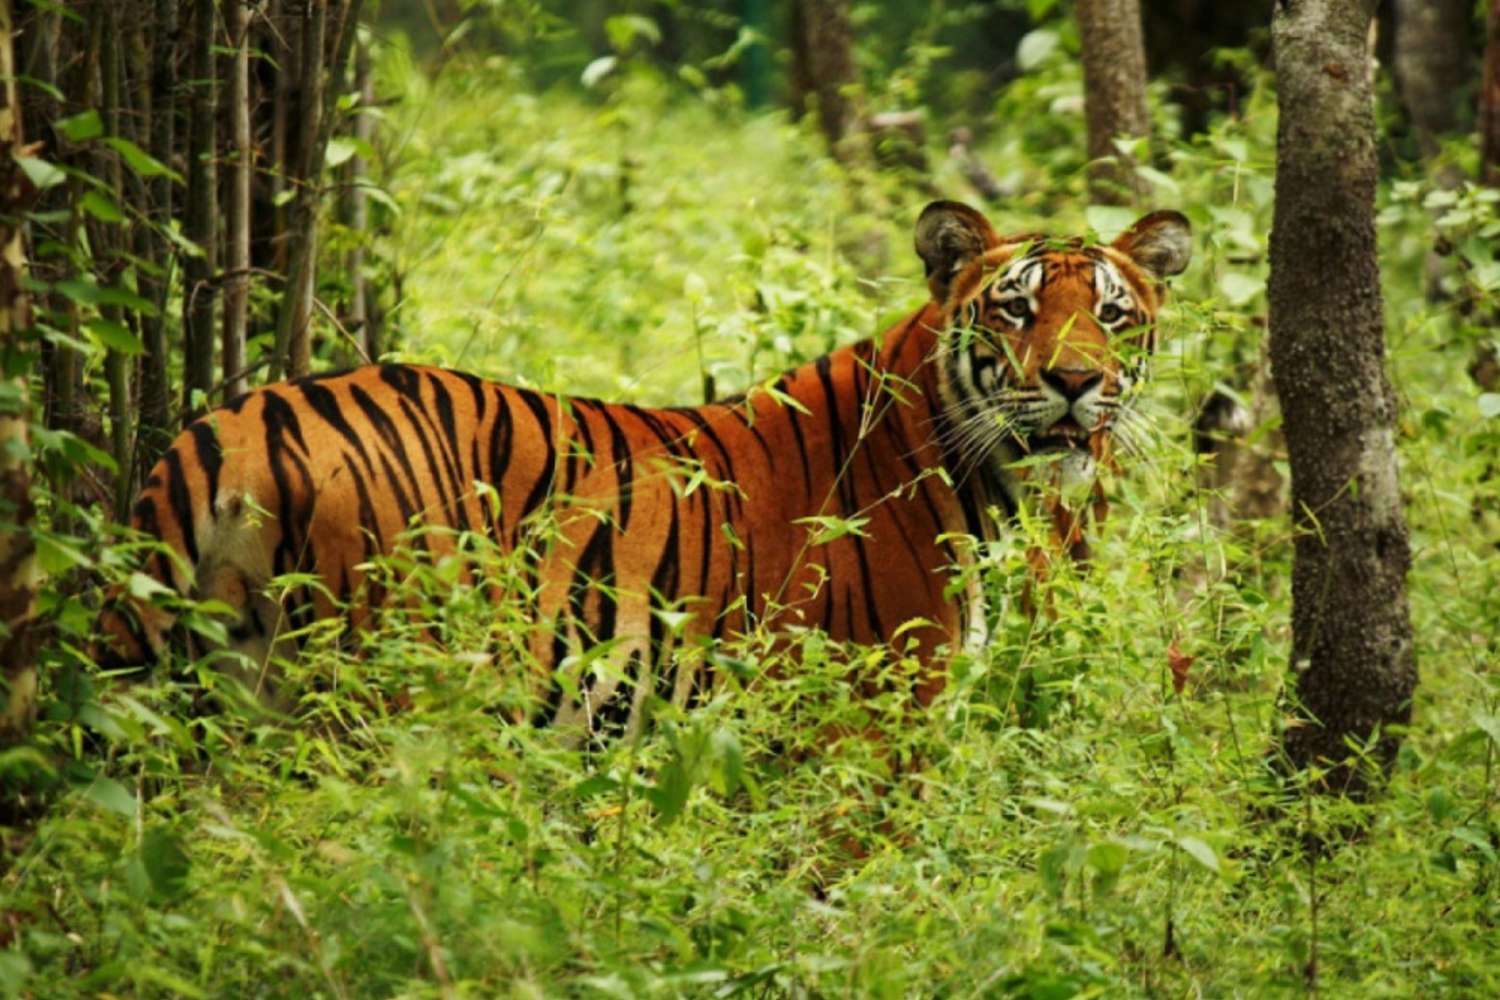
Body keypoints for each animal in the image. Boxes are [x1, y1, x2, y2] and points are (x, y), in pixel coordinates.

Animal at [99, 200, 1188, 734]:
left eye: (1113, 314)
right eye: (1016, 308)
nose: (1078, 382)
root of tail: (237, 419)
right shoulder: (871, 725)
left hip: (224, 691)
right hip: (385, 691)